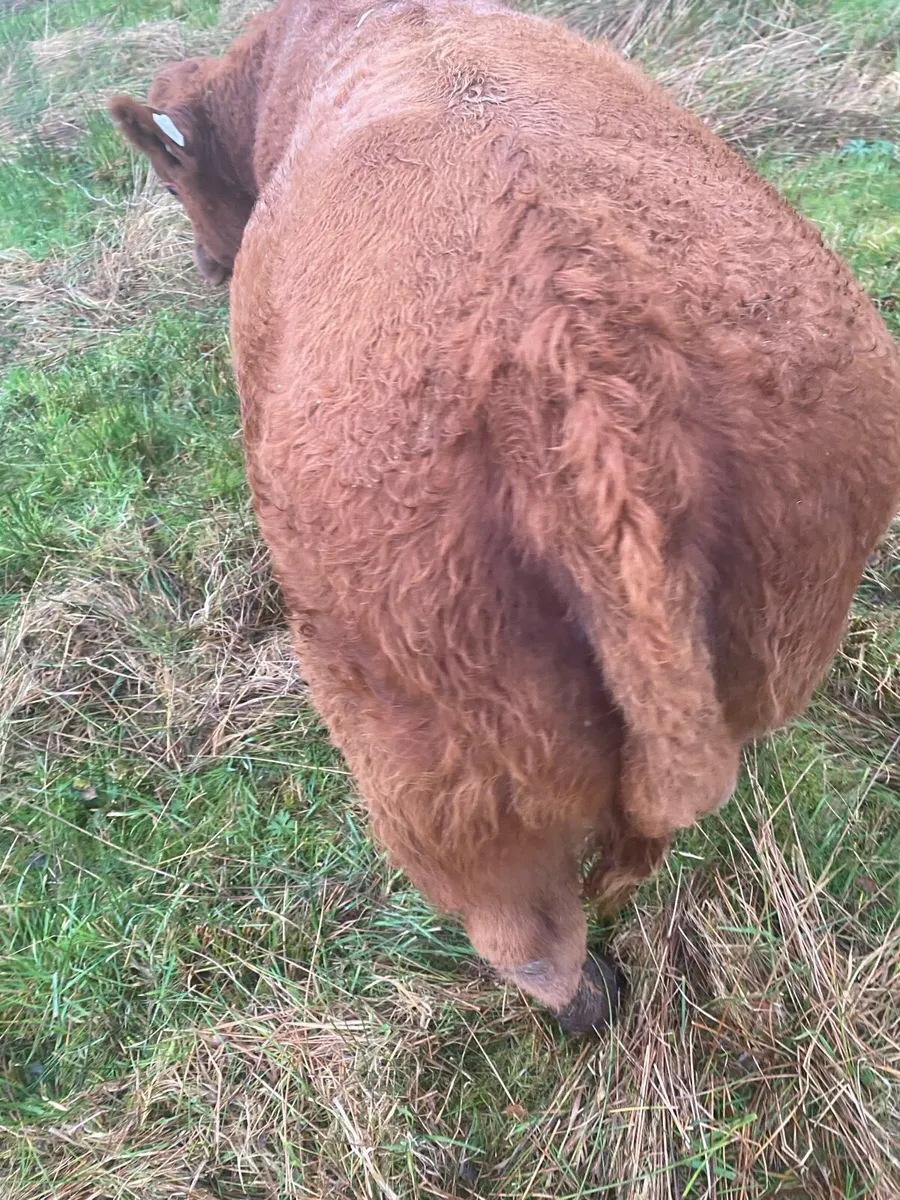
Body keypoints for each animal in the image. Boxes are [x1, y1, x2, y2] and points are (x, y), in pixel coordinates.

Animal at [109, 0, 900, 1034]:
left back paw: (579, 1003)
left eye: (171, 173)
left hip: (423, 743)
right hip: (787, 616)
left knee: (520, 923)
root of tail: (569, 354)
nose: (210, 264)